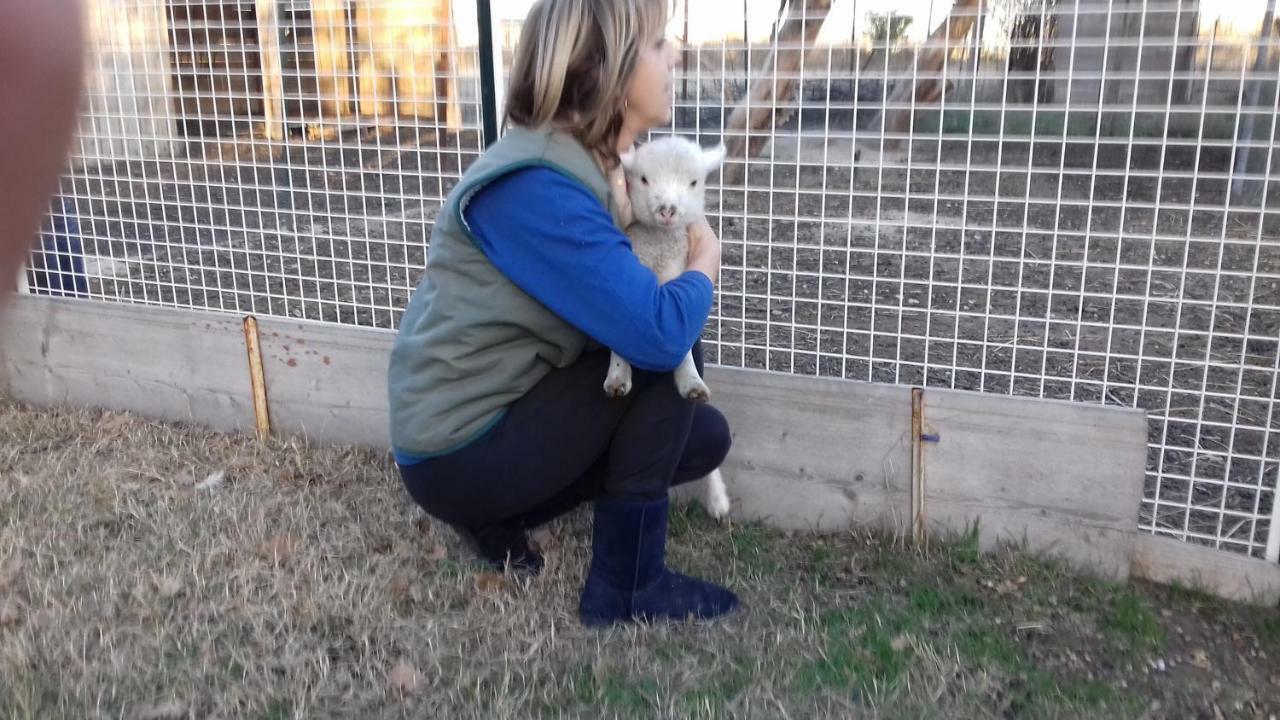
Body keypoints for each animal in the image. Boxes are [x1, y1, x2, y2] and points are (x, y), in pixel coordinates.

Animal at [601, 133, 732, 515]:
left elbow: (682, 348)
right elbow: (622, 336)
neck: (657, 257)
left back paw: (718, 499)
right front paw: (617, 378)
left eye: (694, 182)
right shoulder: (627, 286)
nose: (667, 210)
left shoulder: (678, 286)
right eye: (643, 179)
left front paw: (690, 382)